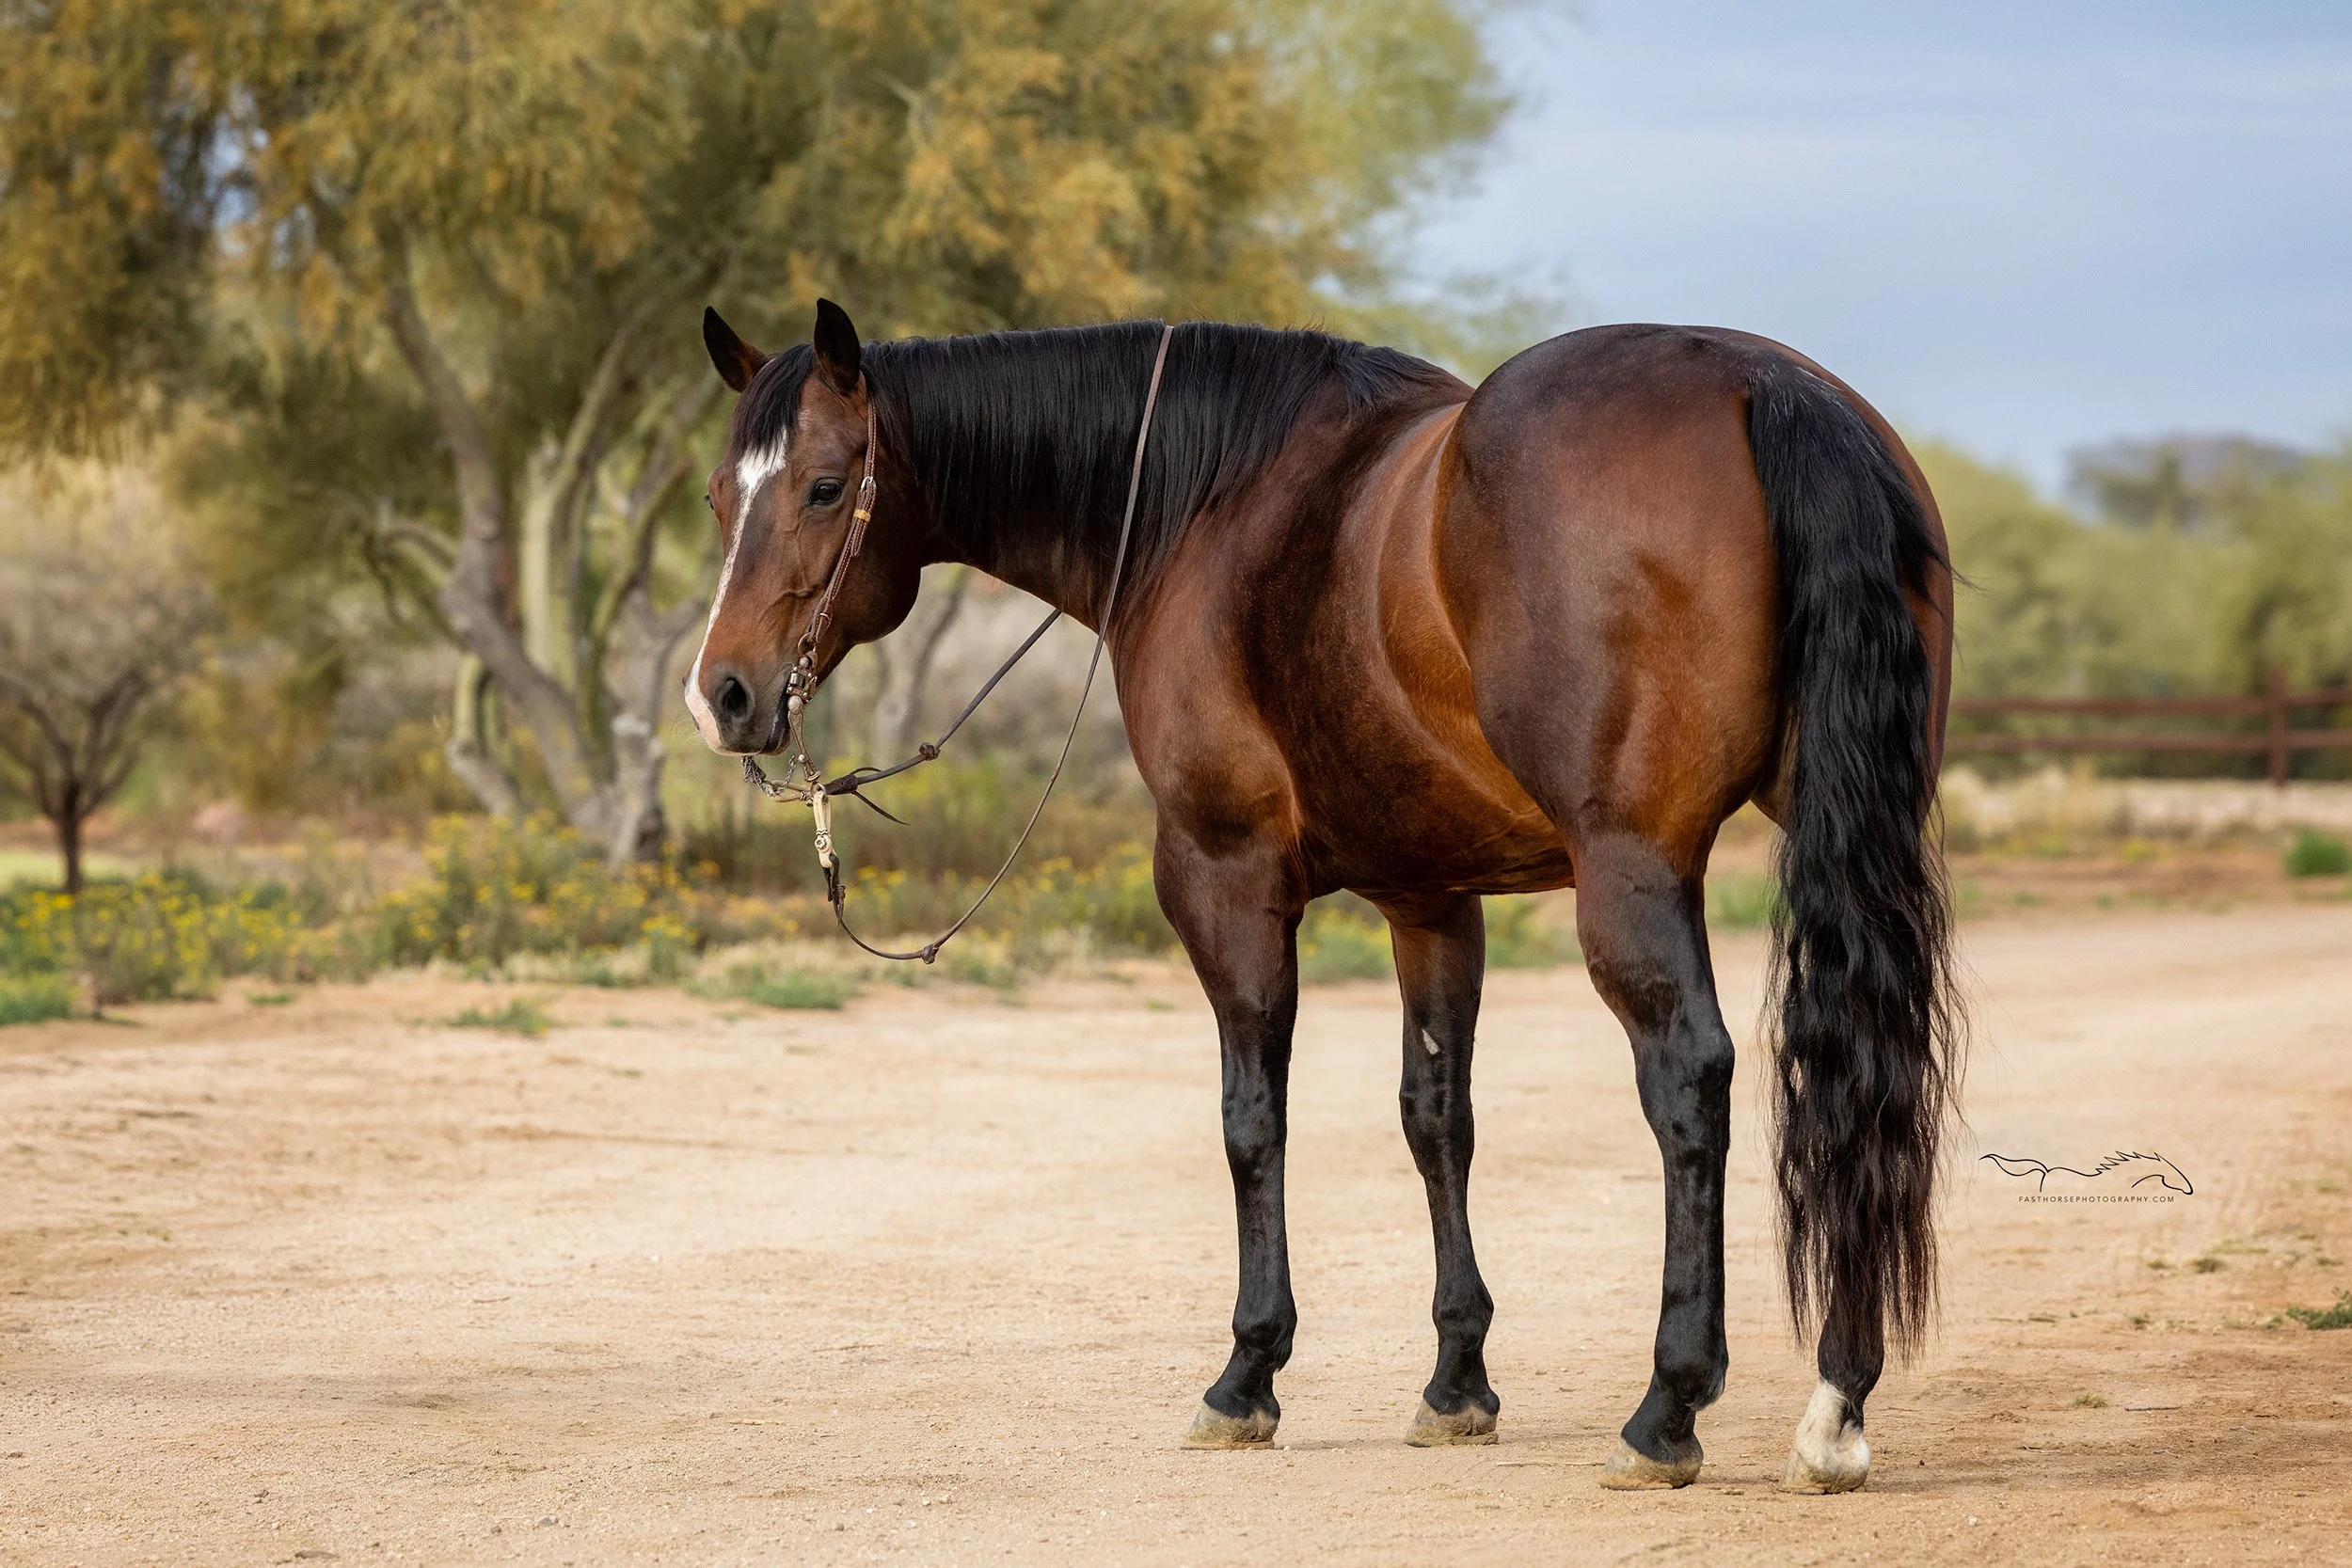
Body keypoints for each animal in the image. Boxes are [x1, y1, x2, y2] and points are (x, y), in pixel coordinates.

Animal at [683, 299, 1960, 1493]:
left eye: (825, 485)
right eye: (712, 496)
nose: (724, 696)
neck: (1200, 502)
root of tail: (1762, 385)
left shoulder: (1223, 878)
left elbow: (1253, 1119)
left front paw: (1247, 1373)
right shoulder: (1431, 897)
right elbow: (1436, 1119)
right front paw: (1456, 1380)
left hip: (1632, 869)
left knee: (1690, 1082)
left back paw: (1668, 1407)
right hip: (1849, 835)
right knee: (1859, 1077)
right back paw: (1836, 1404)